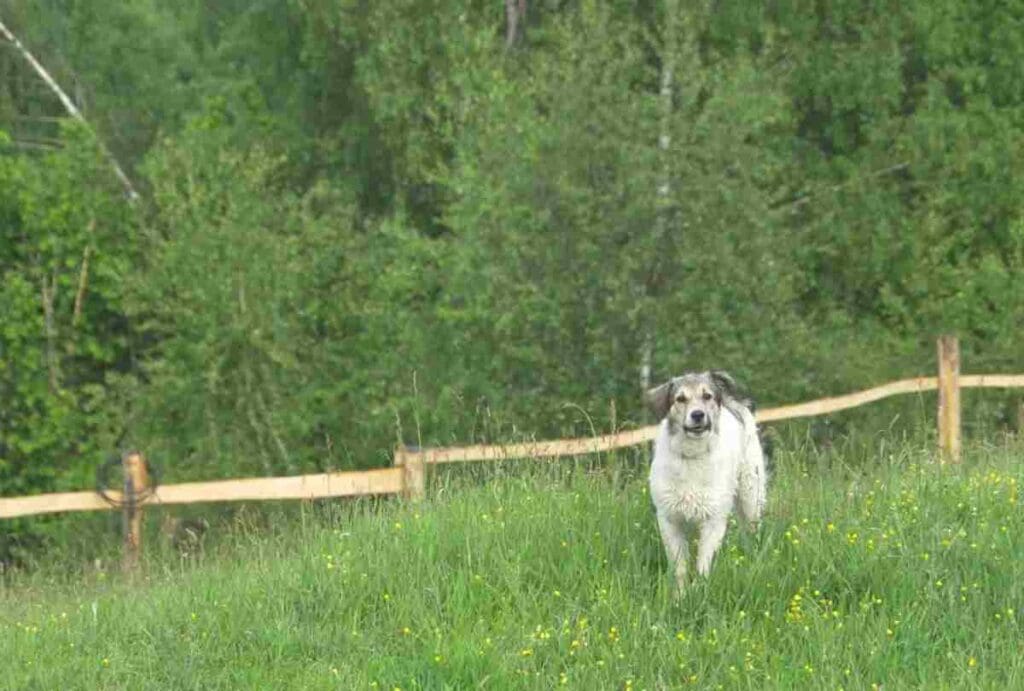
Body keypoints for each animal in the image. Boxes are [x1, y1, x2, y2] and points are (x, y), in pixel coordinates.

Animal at [643, 370, 765, 593]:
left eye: (707, 396)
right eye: (680, 399)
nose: (698, 414)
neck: (692, 455)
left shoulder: (713, 519)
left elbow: (703, 565)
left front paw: (700, 592)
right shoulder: (669, 519)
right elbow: (680, 567)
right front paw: (680, 595)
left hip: (751, 496)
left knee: (752, 530)